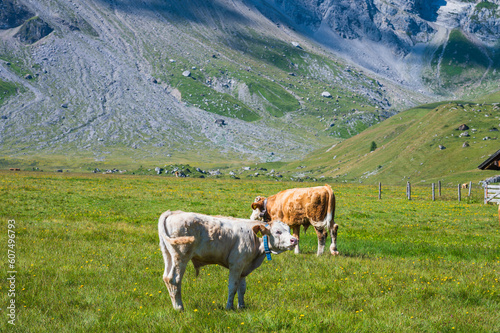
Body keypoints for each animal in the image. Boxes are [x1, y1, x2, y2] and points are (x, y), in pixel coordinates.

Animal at [158, 209, 294, 310]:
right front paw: (229, 307)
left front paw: (241, 306)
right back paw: (179, 308)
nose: (294, 240)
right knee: (174, 280)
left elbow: (242, 288)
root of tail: (173, 212)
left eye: (289, 230)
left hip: (168, 255)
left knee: (166, 278)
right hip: (181, 256)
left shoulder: (243, 267)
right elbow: (232, 287)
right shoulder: (236, 264)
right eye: (278, 231)